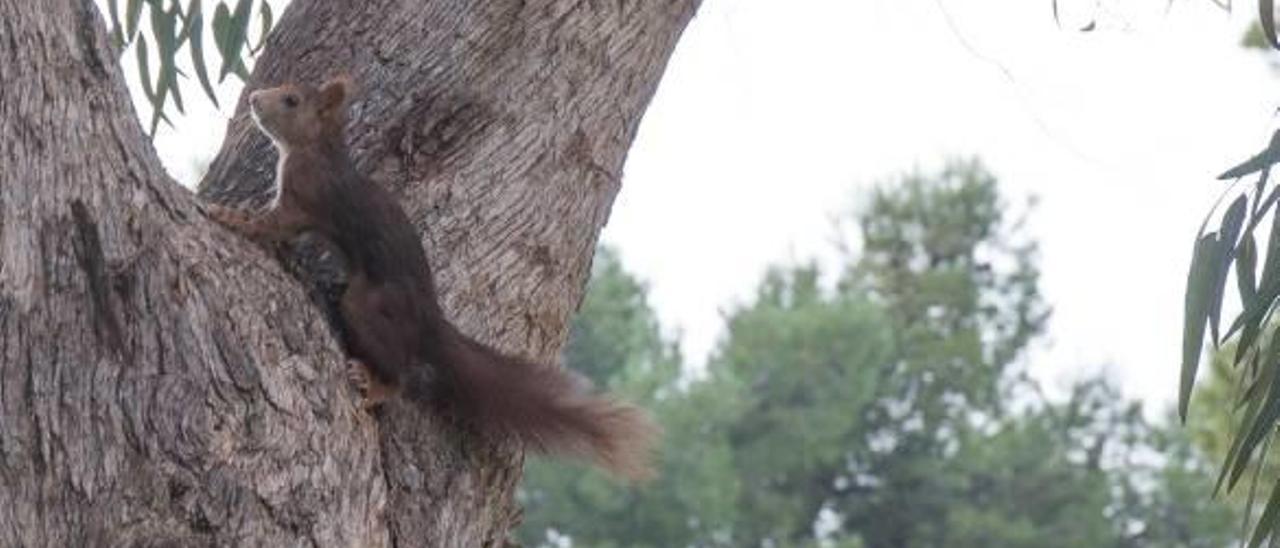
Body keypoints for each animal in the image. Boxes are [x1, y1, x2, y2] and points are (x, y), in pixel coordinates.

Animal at [207, 75, 660, 478]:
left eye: (291, 101)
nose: (254, 100)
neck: (313, 149)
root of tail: (429, 320)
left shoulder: (304, 199)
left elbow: (270, 225)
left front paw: (227, 216)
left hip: (368, 305)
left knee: (401, 372)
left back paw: (375, 384)